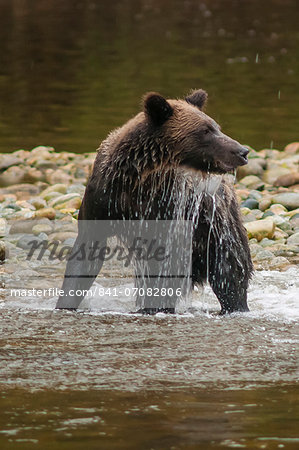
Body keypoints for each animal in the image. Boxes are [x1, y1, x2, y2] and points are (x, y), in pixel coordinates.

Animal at [55, 88, 253, 312]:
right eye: (206, 130)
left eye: (216, 127)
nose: (242, 151)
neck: (141, 180)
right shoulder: (103, 200)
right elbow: (85, 256)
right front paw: (65, 304)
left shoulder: (169, 211)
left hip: (217, 225)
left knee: (230, 269)